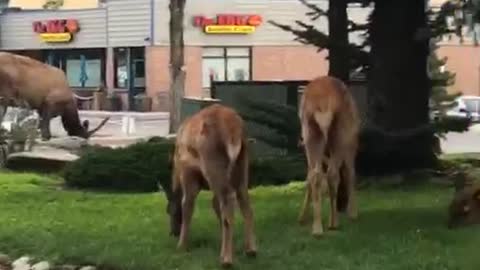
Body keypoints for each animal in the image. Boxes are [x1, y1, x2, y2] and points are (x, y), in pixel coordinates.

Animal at [165, 104, 256, 268]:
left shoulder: (188, 173)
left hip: (212, 161)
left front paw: (182, 246)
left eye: (169, 210)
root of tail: (234, 130)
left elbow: (187, 205)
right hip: (242, 163)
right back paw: (250, 250)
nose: (173, 233)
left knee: (228, 200)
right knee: (243, 198)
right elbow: (215, 204)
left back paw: (226, 259)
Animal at [296, 75, 360, 235]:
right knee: (334, 173)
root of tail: (323, 104)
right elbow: (350, 173)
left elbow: (309, 178)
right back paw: (333, 223)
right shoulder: (351, 147)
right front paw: (353, 213)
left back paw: (317, 228)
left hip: (311, 133)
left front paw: (302, 217)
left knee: (315, 175)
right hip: (340, 134)